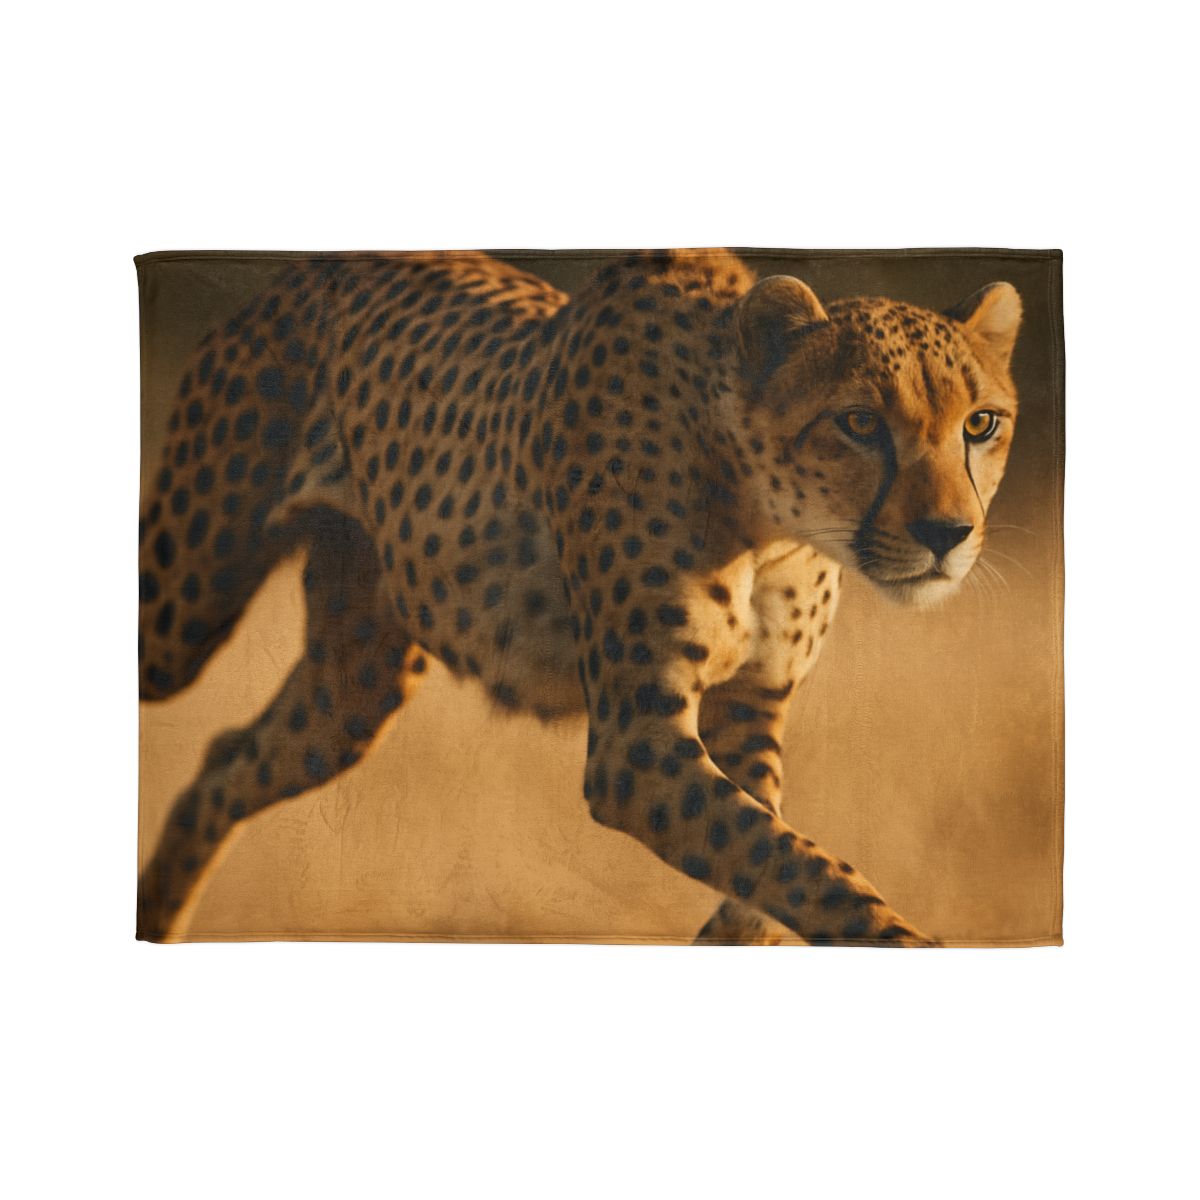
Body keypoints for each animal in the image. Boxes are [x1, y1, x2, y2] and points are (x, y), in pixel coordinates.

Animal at [136, 248, 1022, 944]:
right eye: (860, 423)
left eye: (980, 423)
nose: (948, 533)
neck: (769, 521)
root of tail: (313, 264)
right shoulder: (636, 745)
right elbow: (797, 862)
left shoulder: (749, 704)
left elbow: (772, 850)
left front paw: (735, 932)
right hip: (183, 612)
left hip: (353, 689)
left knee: (225, 761)